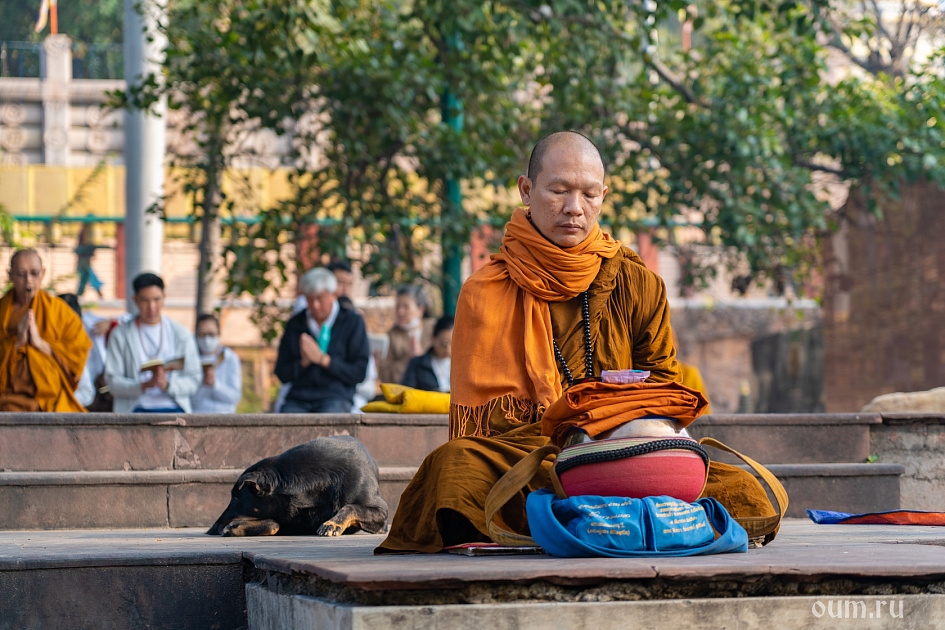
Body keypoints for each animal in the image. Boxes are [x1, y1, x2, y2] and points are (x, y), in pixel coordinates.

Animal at [208, 440, 390, 540]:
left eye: (236, 498)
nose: (212, 529)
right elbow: (274, 524)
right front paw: (234, 527)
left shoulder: (381, 515)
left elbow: (351, 507)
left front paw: (332, 523)